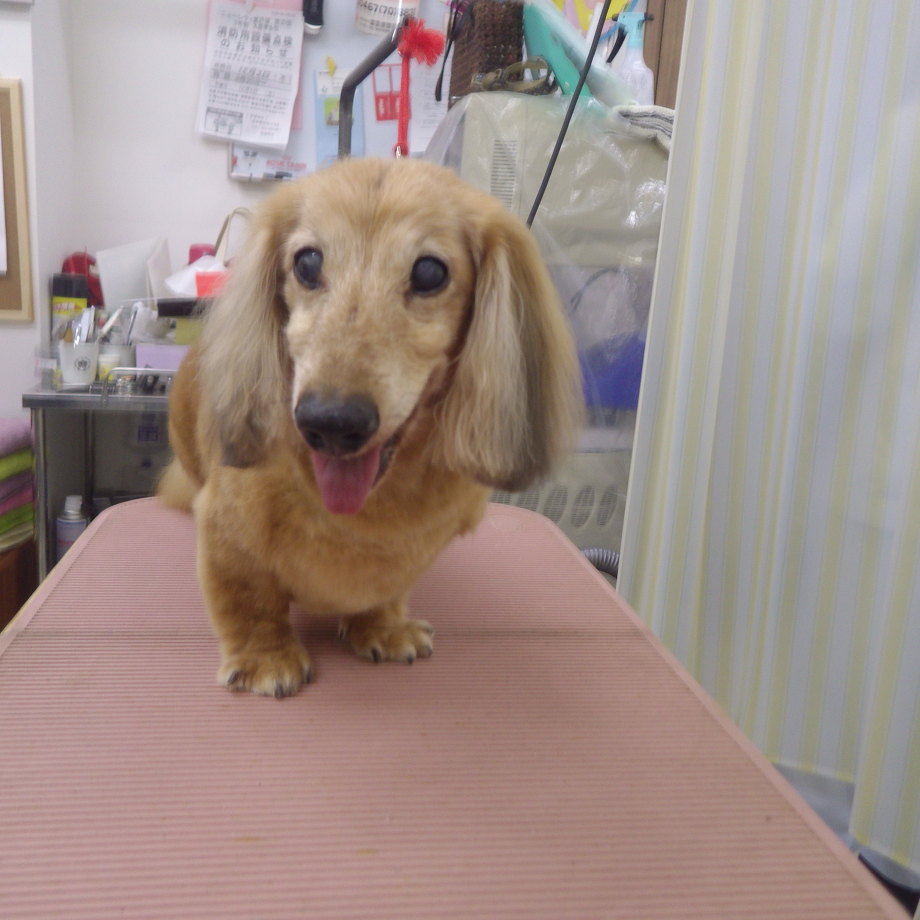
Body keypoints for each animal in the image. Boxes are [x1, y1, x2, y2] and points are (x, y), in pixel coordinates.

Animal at [158, 157, 582, 697]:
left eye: (429, 272)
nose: (330, 423)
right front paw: (265, 657)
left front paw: (382, 626)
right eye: (307, 263)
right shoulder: (227, 533)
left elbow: (385, 592)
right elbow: (248, 599)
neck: (360, 515)